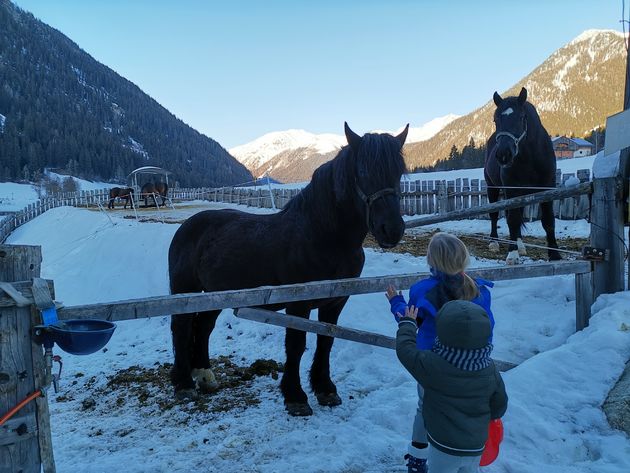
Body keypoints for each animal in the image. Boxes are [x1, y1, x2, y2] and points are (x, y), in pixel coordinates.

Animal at [167, 121, 410, 412]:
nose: (392, 229)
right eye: (362, 171)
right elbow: (296, 344)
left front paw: (325, 389)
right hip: (186, 290)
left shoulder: (336, 301)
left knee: (203, 327)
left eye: (399, 171)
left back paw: (204, 376)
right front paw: (295, 396)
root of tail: (187, 227)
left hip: (215, 294)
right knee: (181, 327)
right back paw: (183, 383)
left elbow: (326, 340)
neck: (323, 235)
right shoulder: (299, 303)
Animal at [484, 85, 564, 262]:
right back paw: (494, 242)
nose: (503, 154)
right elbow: (512, 220)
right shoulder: (512, 190)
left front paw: (554, 254)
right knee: (494, 215)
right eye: (495, 120)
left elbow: (548, 220)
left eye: (521, 117)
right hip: (492, 188)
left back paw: (520, 245)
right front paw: (512, 254)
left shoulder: (547, 188)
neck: (529, 158)